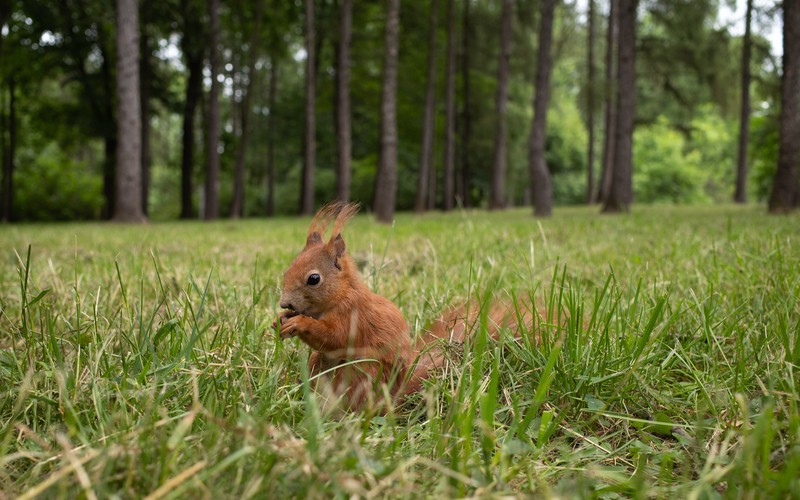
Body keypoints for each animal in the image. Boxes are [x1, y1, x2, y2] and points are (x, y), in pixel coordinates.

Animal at [274, 201, 535, 411]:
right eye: (287, 269)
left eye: (314, 279)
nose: (284, 302)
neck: (340, 294)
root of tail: (393, 399)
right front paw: (280, 320)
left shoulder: (352, 315)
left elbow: (335, 337)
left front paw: (299, 323)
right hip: (320, 366)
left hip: (363, 374)